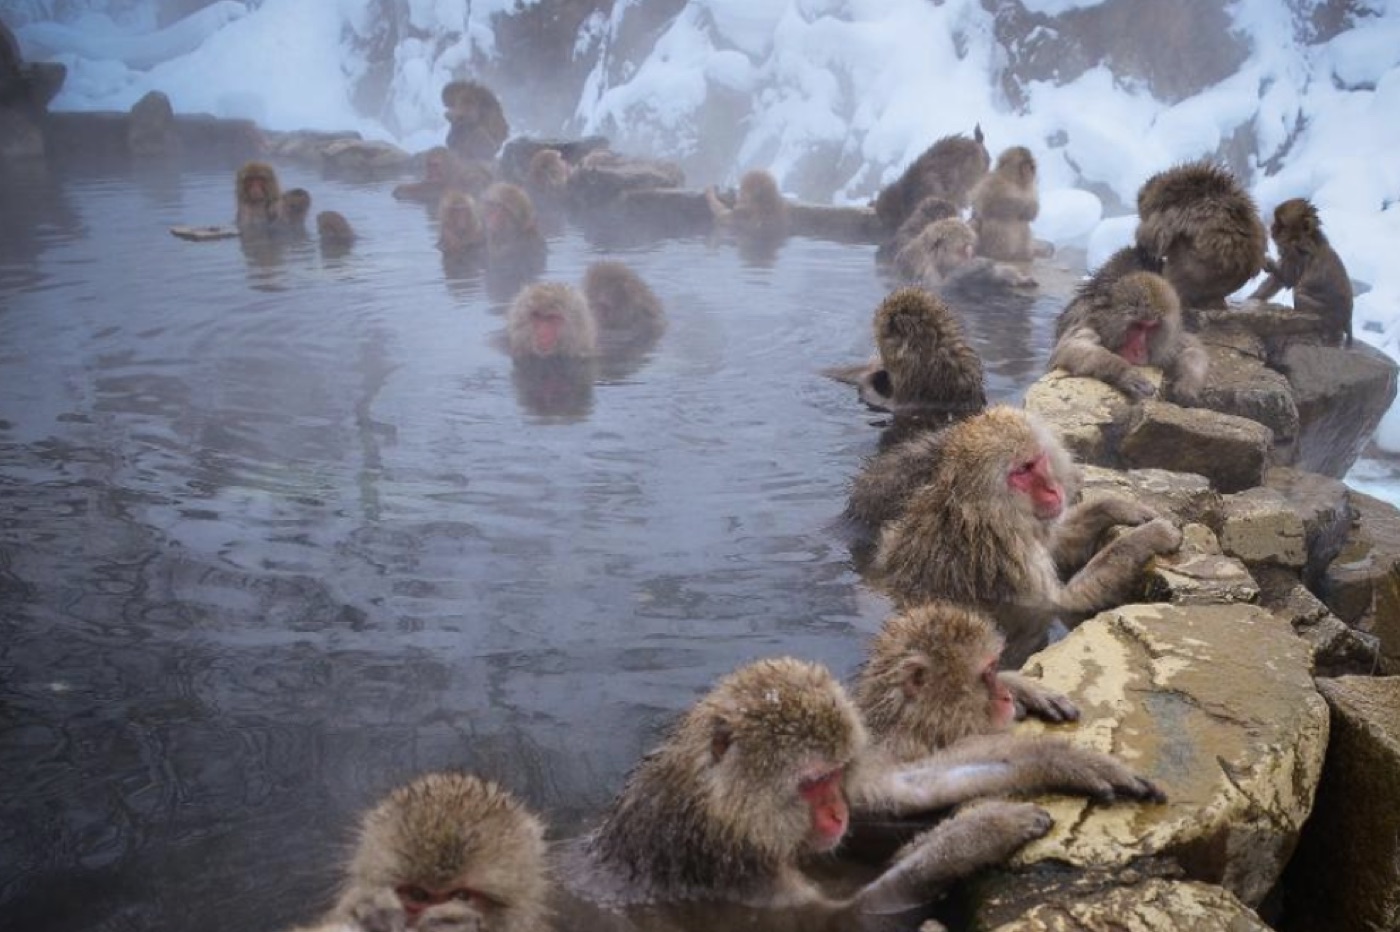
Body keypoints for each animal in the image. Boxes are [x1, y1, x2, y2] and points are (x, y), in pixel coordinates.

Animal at [553, 656, 1163, 927]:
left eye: (837, 773)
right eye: (812, 783)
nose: (836, 814)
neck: (730, 809)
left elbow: (897, 787)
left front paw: (1061, 760)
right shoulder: (728, 864)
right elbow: (850, 917)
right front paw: (983, 831)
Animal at [872, 405, 1182, 667]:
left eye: (1037, 459)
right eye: (1022, 470)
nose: (1052, 489)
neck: (987, 513)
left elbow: (1057, 541)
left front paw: (1118, 506)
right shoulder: (1008, 557)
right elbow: (1060, 603)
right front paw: (1148, 536)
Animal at [893, 218, 1037, 294]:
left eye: (970, 245)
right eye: (962, 249)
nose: (970, 253)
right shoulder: (927, 269)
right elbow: (942, 287)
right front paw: (977, 265)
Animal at [1050, 269, 1209, 405]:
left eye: (1151, 327)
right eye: (1137, 326)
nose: (1138, 350)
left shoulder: (1167, 344)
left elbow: (1191, 347)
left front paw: (1187, 386)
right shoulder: (1087, 321)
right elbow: (1072, 346)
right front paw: (1125, 373)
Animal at [1248, 197, 1354, 347]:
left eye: (1281, 224)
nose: (1272, 228)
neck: (1304, 238)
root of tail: (1347, 319)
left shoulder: (1295, 255)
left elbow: (1288, 280)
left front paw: (1266, 262)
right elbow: (1278, 281)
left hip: (1325, 312)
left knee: (1299, 294)